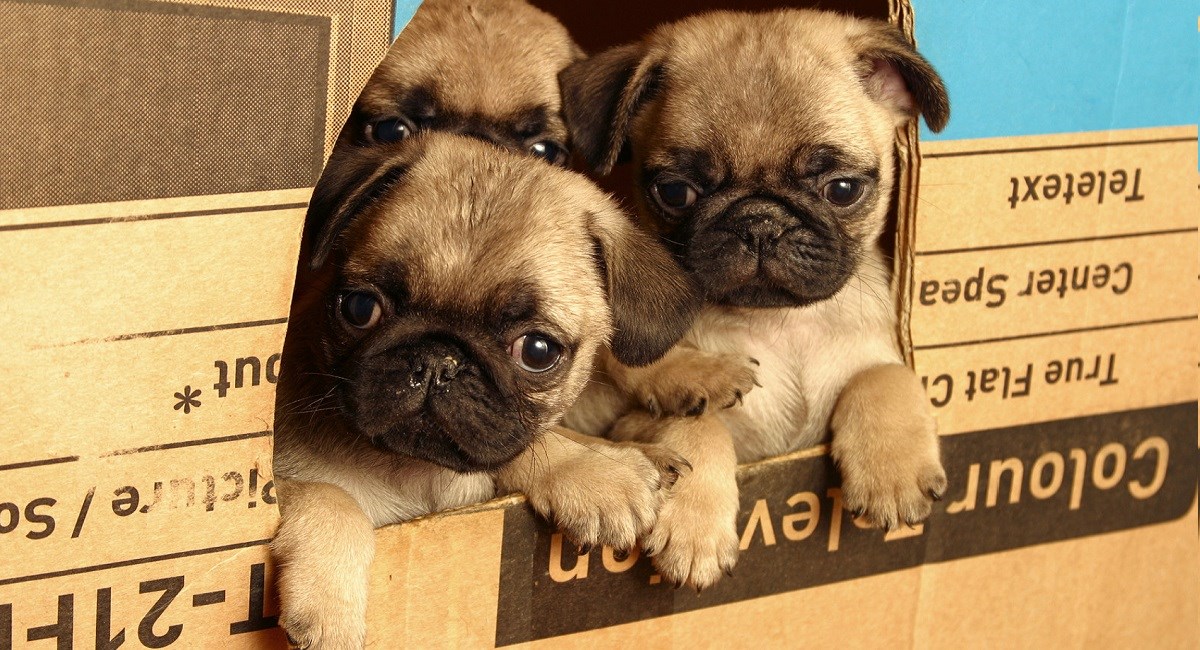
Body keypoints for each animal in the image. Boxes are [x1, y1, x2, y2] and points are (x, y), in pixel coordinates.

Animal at [273, 132, 700, 647]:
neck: (414, 471)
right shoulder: (278, 482)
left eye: (537, 351)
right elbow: (332, 499)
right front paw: (329, 613)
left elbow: (532, 446)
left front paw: (604, 465)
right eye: (359, 308)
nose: (438, 362)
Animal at [556, 8, 950, 590]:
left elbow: (886, 376)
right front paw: (694, 528)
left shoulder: (879, 352)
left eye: (843, 190)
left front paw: (893, 474)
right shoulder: (629, 425)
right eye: (675, 192)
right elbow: (699, 426)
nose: (761, 222)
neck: (778, 324)